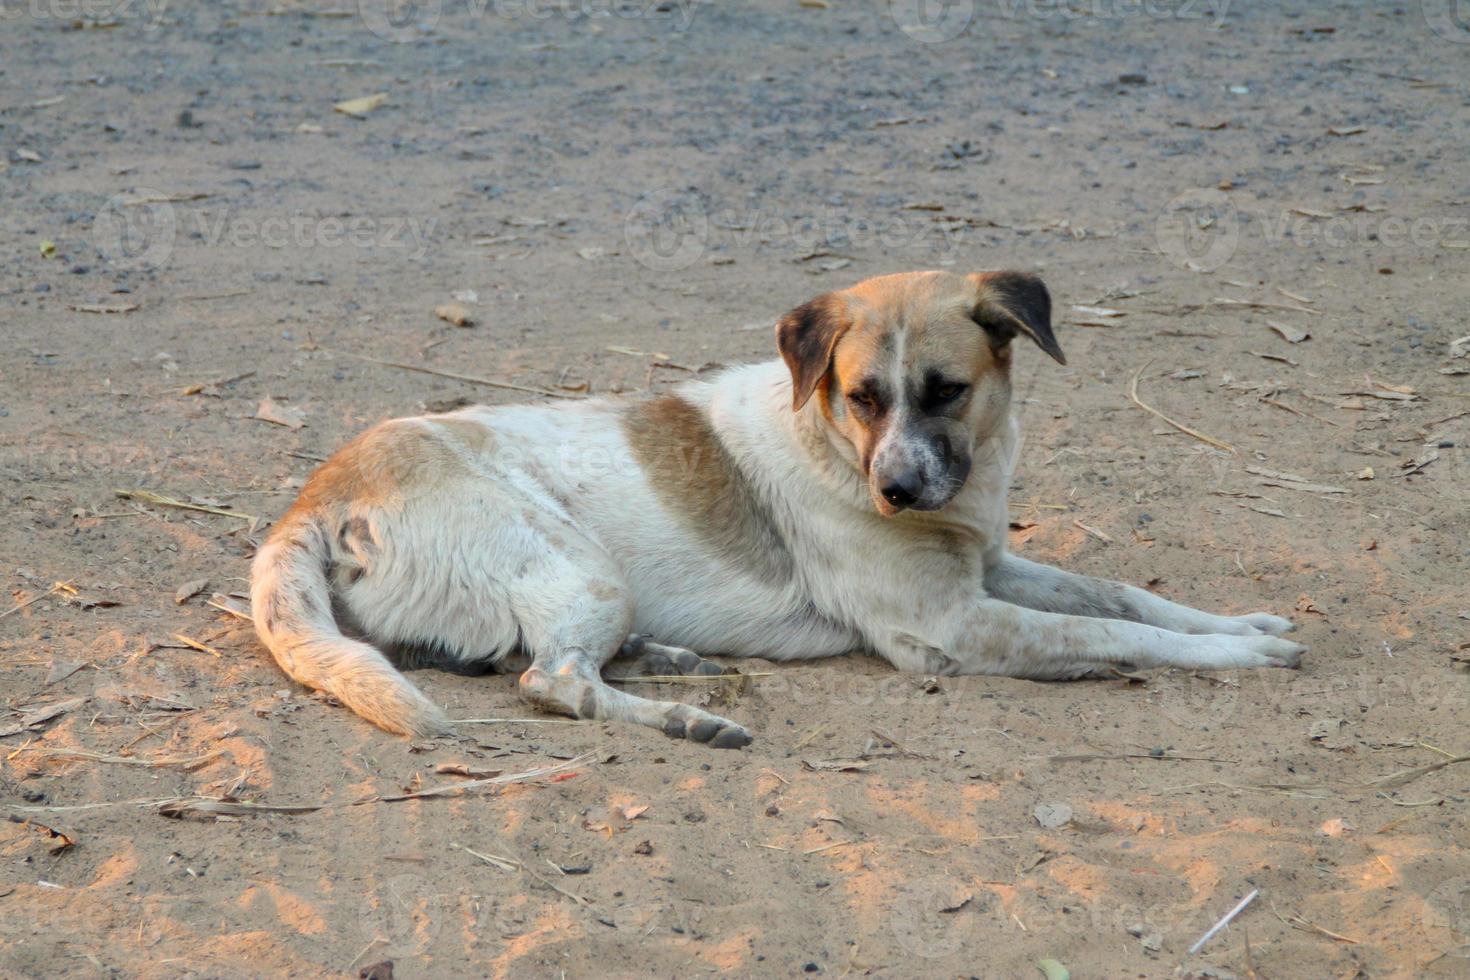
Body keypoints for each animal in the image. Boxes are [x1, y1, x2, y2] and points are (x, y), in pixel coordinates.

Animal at [249, 268, 1299, 743]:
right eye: (863, 395)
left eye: (947, 391)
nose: (896, 491)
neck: (834, 446)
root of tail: (318, 494)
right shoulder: (952, 627)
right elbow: (1116, 635)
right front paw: (1237, 656)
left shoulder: (993, 567)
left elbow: (1123, 597)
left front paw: (1242, 623)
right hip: (579, 563)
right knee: (550, 680)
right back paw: (683, 718)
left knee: (522, 657)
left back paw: (673, 659)